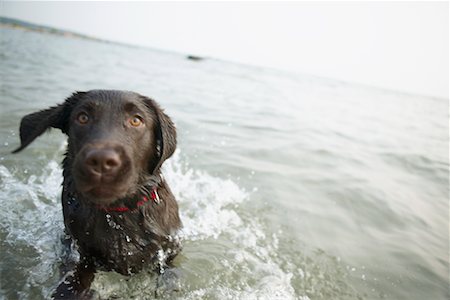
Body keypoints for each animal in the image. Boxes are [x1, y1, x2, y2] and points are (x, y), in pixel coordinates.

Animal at [14, 90, 183, 298]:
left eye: (136, 120)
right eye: (83, 117)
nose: (101, 161)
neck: (117, 215)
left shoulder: (169, 249)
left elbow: (170, 276)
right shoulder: (77, 249)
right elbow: (76, 276)